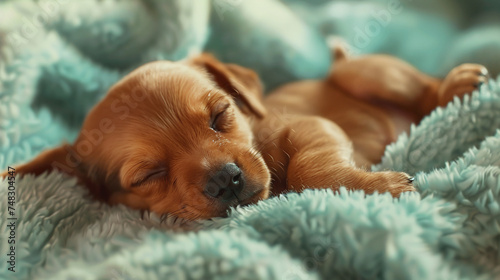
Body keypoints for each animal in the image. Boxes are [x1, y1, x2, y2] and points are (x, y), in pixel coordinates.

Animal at [1, 51, 488, 220]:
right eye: (148, 175)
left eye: (220, 116)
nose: (225, 179)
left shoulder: (312, 126)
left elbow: (310, 168)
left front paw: (380, 188)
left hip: (367, 72)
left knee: (424, 90)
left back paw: (457, 86)